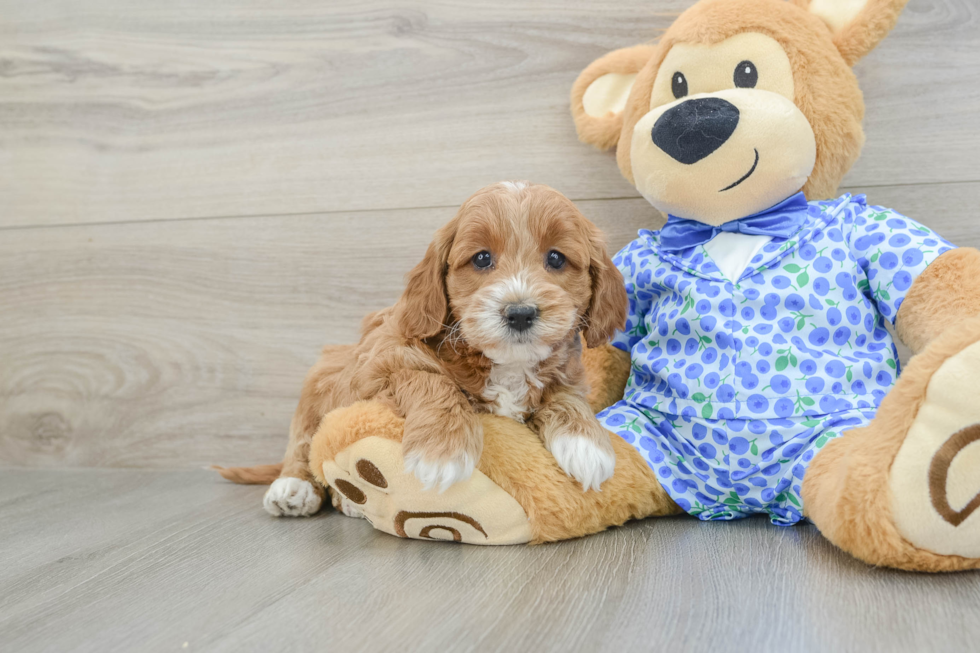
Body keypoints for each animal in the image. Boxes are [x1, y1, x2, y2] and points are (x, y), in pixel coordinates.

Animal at [222, 182, 628, 516]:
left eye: (556, 258)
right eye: (482, 258)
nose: (520, 313)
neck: (504, 364)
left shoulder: (568, 377)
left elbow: (566, 397)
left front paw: (586, 444)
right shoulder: (379, 364)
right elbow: (430, 379)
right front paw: (442, 452)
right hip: (320, 378)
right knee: (303, 443)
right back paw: (296, 488)